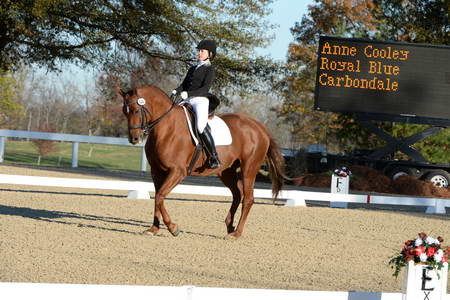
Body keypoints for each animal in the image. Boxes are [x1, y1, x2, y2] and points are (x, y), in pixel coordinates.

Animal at [119, 85, 286, 239]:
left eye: (135, 110)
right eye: (124, 111)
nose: (134, 139)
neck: (166, 128)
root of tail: (260, 127)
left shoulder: (178, 171)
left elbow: (160, 196)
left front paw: (173, 228)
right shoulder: (156, 171)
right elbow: (157, 198)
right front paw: (153, 229)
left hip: (249, 168)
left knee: (248, 199)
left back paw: (236, 233)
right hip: (226, 171)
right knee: (237, 194)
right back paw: (229, 226)